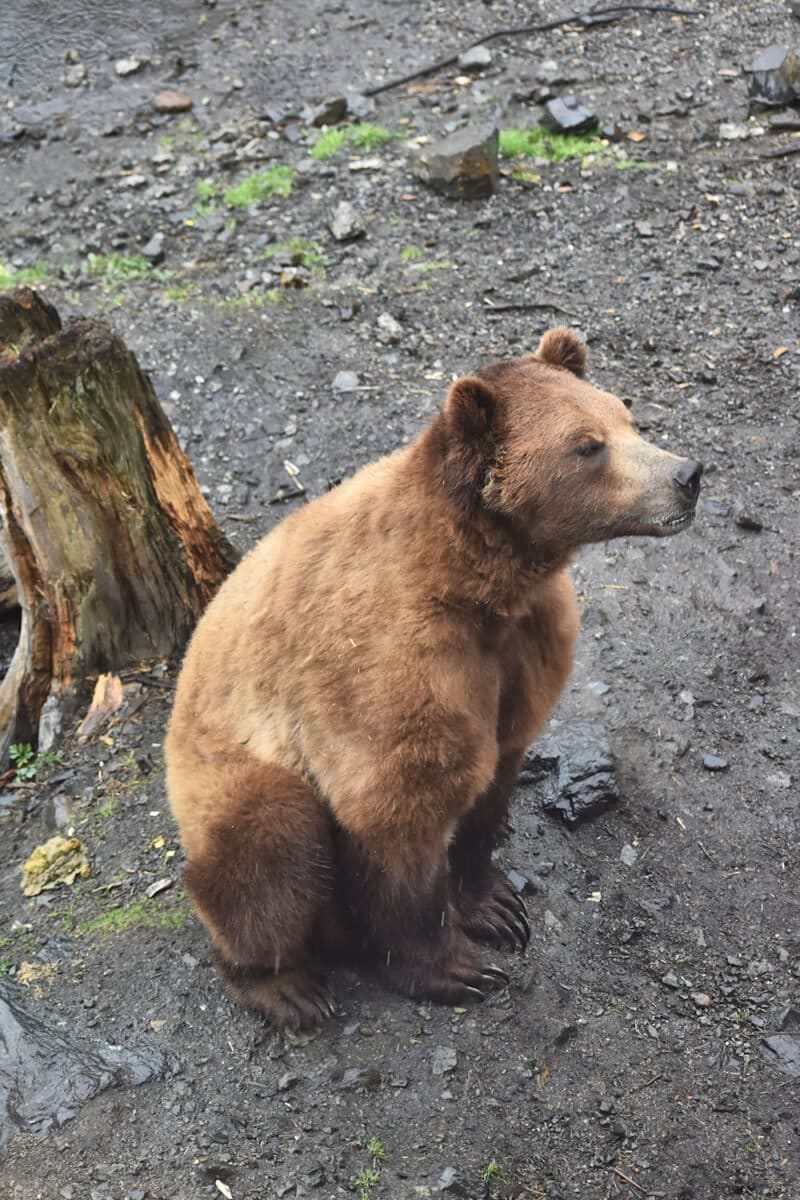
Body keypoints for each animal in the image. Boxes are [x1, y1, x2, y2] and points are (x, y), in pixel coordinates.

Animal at [165, 328, 702, 1030]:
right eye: (588, 445)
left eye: (627, 417)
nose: (687, 475)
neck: (478, 586)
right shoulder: (388, 665)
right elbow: (396, 813)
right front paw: (455, 968)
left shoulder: (526, 648)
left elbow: (495, 774)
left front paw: (495, 905)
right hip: (229, 777)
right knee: (270, 848)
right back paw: (285, 985)